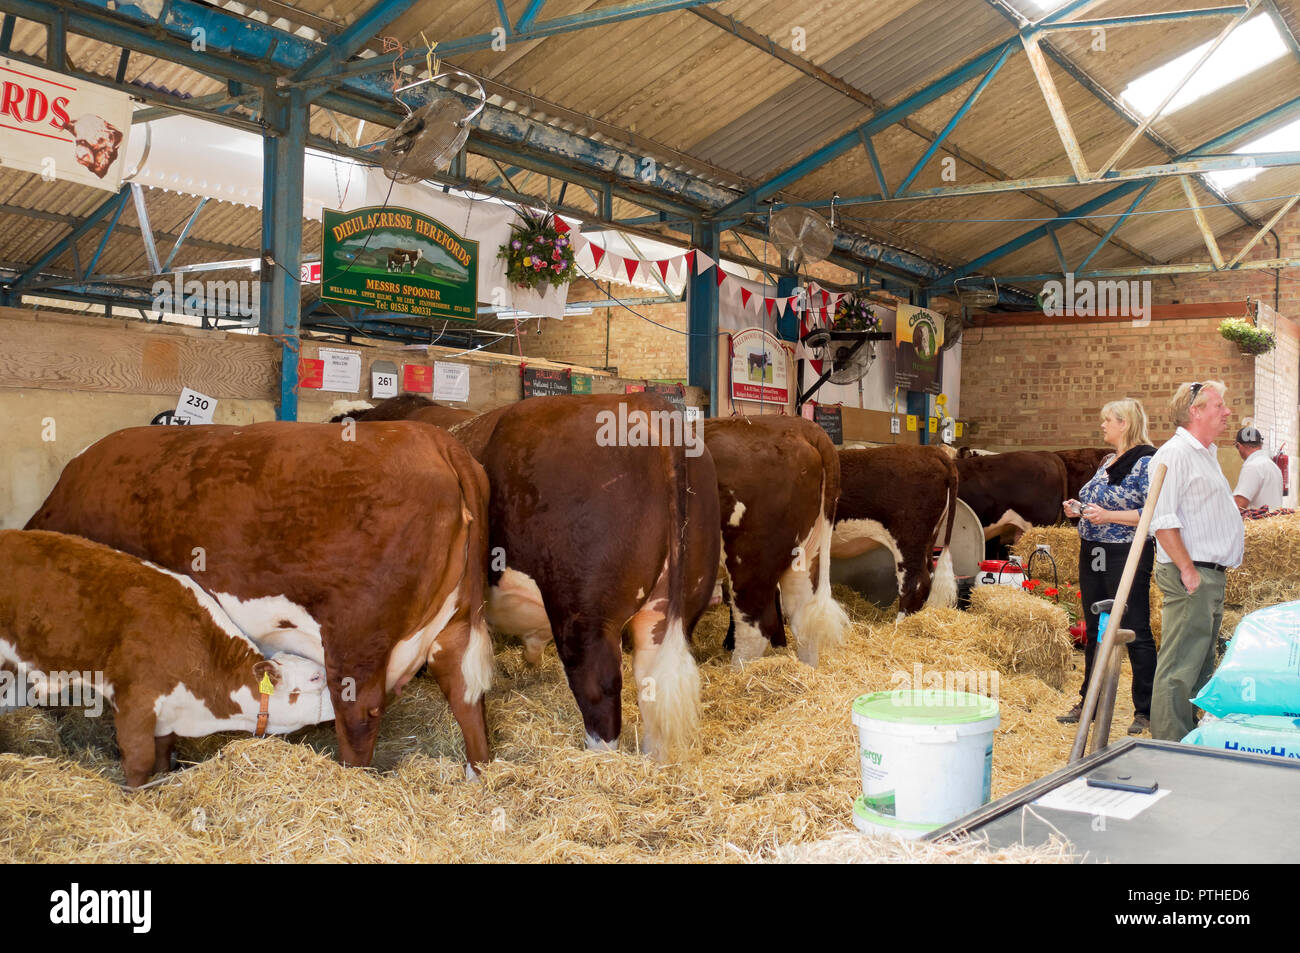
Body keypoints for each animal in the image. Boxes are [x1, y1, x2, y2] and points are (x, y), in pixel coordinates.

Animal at [25, 421, 491, 769]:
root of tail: (436, 440)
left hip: (356, 640)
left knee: (359, 717)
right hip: (456, 624)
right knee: (466, 695)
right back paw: (480, 773)